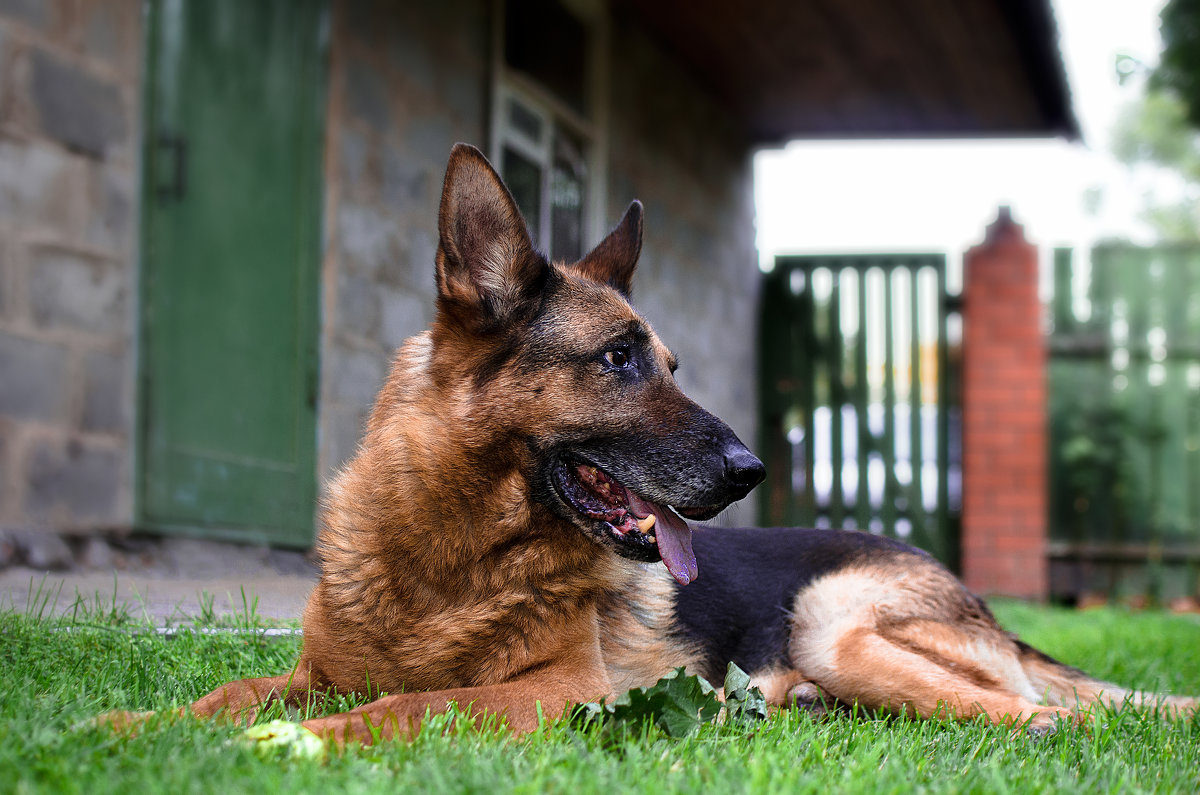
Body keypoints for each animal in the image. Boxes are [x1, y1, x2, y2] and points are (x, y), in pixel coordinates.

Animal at [108, 144, 1195, 749]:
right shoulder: (320, 669)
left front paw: (289, 742)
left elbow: (405, 708)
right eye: (622, 358)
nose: (753, 471)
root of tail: (975, 597)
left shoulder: (555, 691)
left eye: (669, 362)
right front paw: (122, 727)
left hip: (835, 625)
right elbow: (225, 689)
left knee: (1056, 714)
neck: (449, 558)